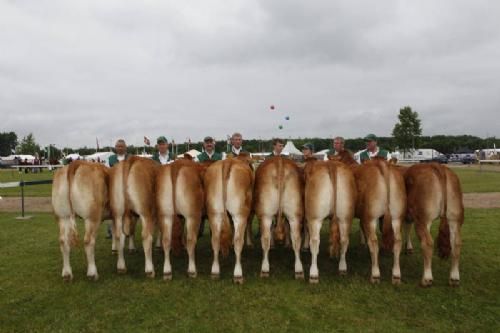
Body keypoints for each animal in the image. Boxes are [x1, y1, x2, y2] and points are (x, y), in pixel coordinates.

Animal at [203, 154, 254, 282]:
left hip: (214, 213)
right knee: (238, 241)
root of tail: (227, 162)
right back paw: (238, 274)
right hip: (239, 213)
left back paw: (215, 271)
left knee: (215, 239)